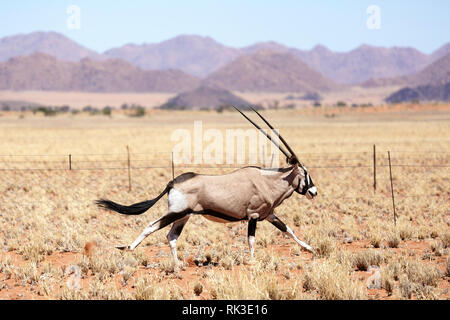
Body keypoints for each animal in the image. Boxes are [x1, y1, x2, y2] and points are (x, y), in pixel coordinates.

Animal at [96, 107, 318, 264]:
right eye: (305, 172)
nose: (314, 192)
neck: (268, 180)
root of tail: (172, 182)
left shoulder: (269, 215)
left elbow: (288, 230)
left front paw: (310, 249)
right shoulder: (253, 216)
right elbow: (251, 239)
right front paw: (253, 262)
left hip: (183, 216)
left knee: (171, 236)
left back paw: (177, 266)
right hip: (176, 212)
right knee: (152, 226)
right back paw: (128, 248)